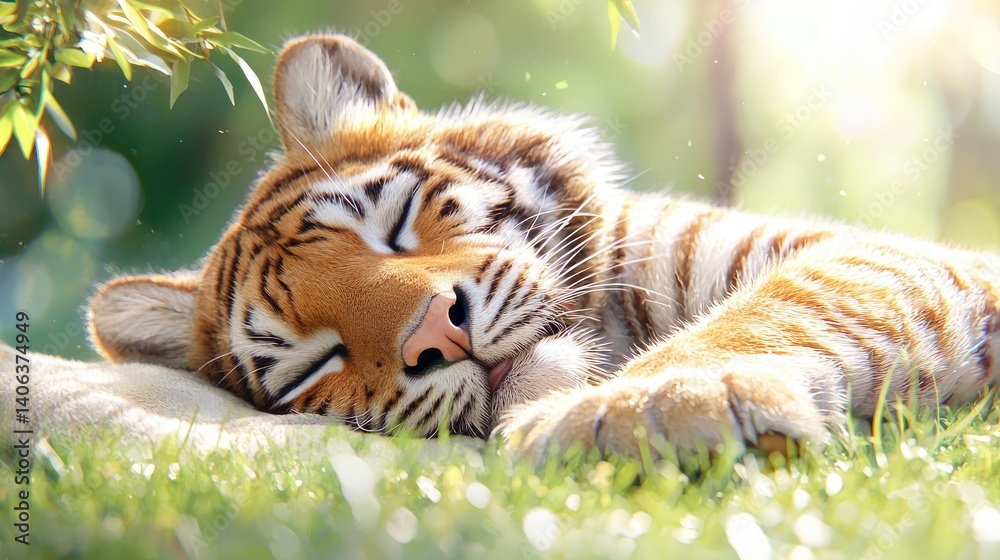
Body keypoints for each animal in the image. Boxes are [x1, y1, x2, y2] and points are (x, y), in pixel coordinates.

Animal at [87, 34, 1000, 464]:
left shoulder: (851, 253)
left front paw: (638, 408)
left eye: (395, 222)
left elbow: (781, 307)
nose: (434, 333)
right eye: (315, 362)